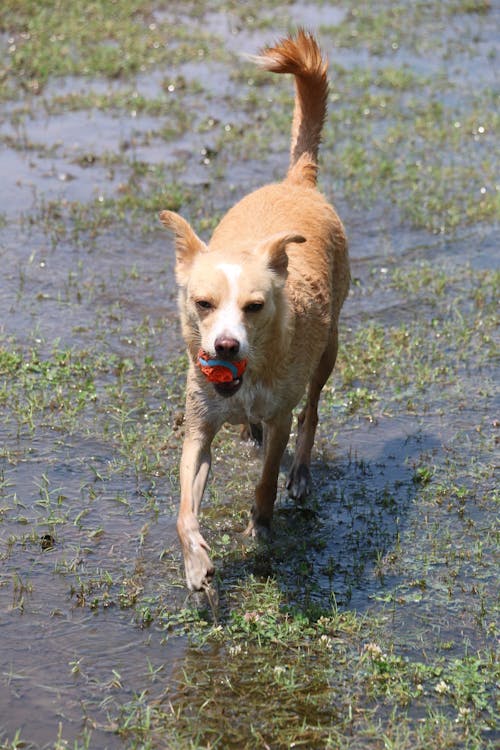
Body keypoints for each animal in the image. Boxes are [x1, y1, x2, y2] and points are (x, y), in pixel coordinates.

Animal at [162, 29, 350, 592]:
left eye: (255, 306)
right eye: (203, 303)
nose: (225, 346)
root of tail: (297, 182)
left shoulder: (280, 410)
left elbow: (266, 478)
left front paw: (261, 526)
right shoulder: (199, 428)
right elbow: (184, 507)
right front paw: (196, 562)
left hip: (329, 348)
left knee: (312, 411)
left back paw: (301, 474)